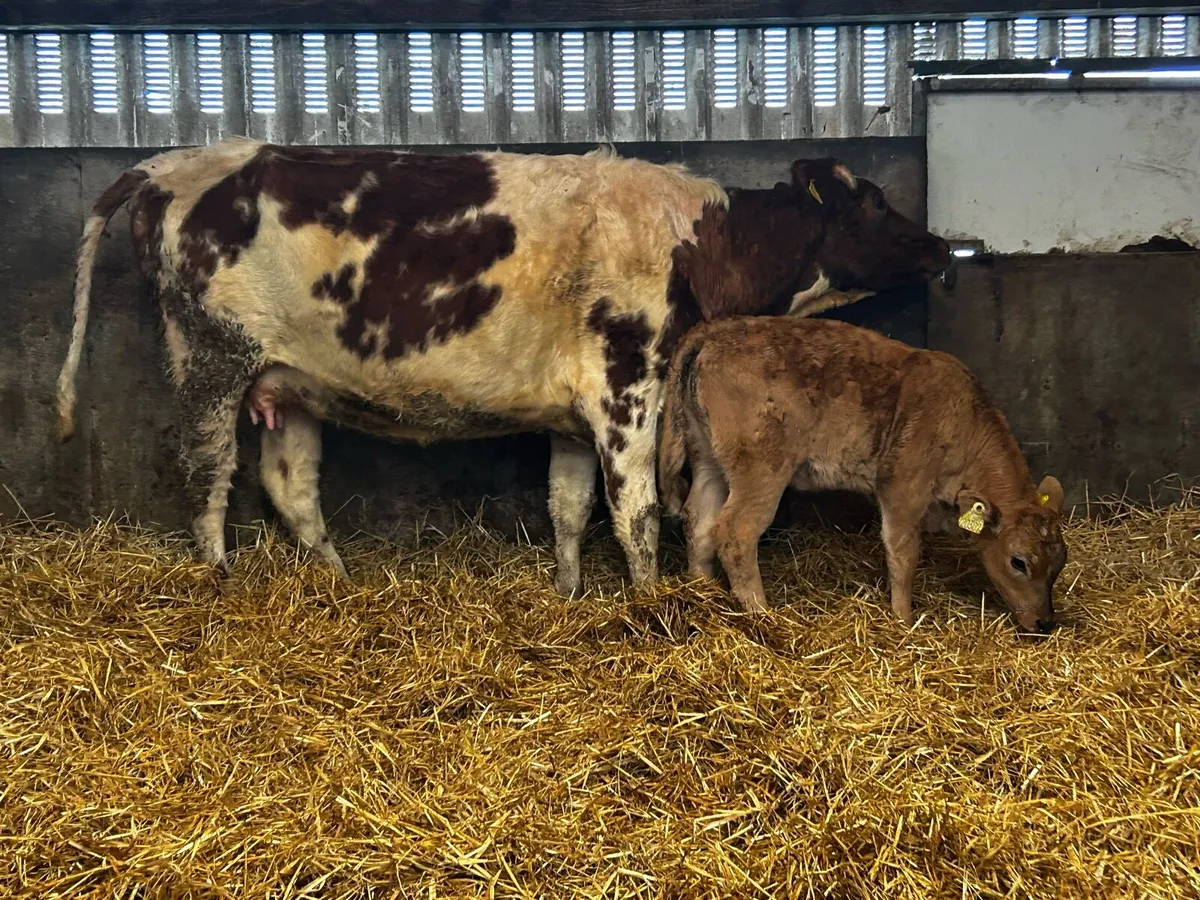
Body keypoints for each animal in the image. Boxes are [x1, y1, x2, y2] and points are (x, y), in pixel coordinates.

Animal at [55, 138, 950, 598]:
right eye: (873, 202)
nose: (942, 246)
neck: (699, 244)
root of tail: (174, 162)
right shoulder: (627, 387)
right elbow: (636, 514)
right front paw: (650, 608)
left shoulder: (575, 414)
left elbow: (568, 509)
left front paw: (570, 595)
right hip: (213, 357)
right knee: (207, 476)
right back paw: (219, 579)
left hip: (289, 381)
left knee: (290, 486)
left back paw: (340, 584)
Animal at [657, 314, 1067, 634]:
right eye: (1018, 561)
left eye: (1060, 563)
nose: (1045, 623)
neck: (963, 421)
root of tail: (716, 329)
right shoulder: (904, 487)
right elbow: (904, 554)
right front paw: (904, 619)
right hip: (762, 467)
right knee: (736, 532)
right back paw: (761, 612)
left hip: (707, 457)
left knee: (699, 519)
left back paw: (701, 589)